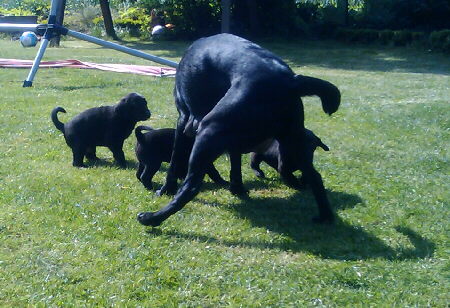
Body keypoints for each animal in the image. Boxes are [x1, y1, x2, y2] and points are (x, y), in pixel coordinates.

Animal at [137, 33, 342, 227]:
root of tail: (291, 81)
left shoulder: (184, 120)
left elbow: (173, 162)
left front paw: (166, 190)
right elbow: (235, 163)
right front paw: (237, 189)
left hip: (208, 131)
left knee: (191, 186)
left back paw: (152, 218)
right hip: (293, 142)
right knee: (315, 177)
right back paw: (325, 216)